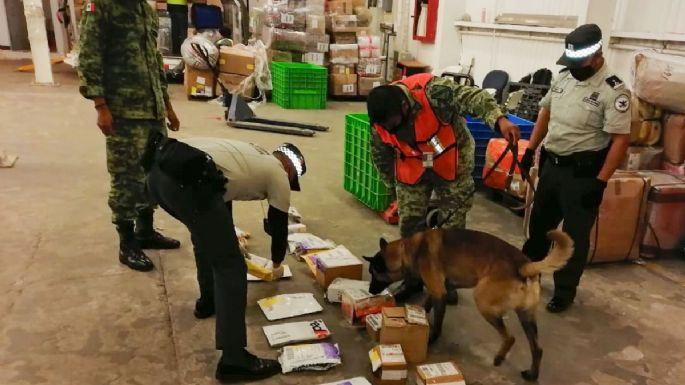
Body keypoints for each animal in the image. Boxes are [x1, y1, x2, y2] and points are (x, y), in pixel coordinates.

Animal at [364, 226, 572, 380]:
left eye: (374, 273)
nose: (371, 291)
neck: (408, 249)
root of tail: (524, 265)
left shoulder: (439, 292)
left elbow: (437, 322)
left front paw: (431, 338)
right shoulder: (437, 288)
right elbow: (426, 304)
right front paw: (418, 317)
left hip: (483, 302)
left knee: (510, 337)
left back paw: (499, 357)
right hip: (526, 317)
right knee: (537, 349)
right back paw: (532, 374)